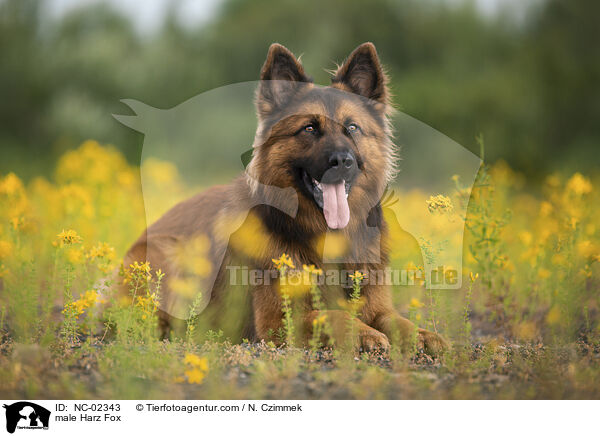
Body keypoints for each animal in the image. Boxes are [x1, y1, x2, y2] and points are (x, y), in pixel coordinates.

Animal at [122, 41, 448, 354]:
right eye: (309, 128)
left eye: (352, 128)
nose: (343, 161)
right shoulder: (279, 321)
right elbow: (334, 316)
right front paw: (365, 333)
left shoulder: (378, 305)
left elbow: (397, 320)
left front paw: (424, 335)